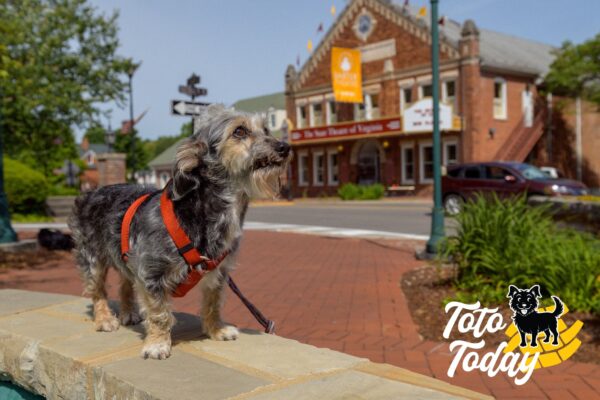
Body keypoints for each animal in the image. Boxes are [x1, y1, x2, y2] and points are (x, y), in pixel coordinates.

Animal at [69, 105, 292, 360]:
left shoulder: (218, 273)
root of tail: (90, 193)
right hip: (92, 258)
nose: (285, 147)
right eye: (239, 131)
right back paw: (105, 319)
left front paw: (216, 330)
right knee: (98, 291)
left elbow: (213, 304)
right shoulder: (152, 274)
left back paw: (128, 312)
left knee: (125, 284)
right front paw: (157, 344)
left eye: (266, 129)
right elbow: (159, 313)